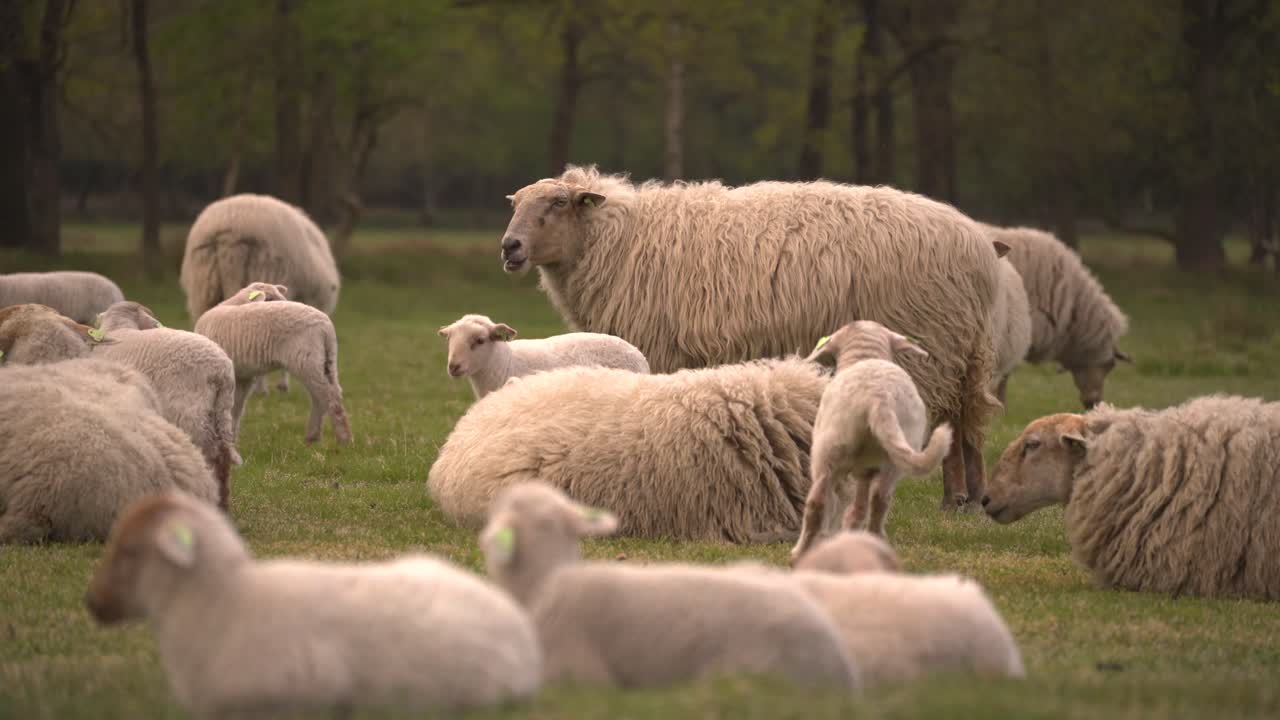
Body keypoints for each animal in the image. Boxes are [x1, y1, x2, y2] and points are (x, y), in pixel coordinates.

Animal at [93, 301, 240, 510]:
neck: (119, 328)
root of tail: (221, 370)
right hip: (222, 410)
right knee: (224, 456)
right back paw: (223, 504)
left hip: (190, 413)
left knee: (209, 455)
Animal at [194, 288, 352, 446]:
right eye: (269, 299)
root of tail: (326, 326)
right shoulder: (242, 377)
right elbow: (236, 409)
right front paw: (231, 439)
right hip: (326, 362)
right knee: (324, 395)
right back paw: (313, 437)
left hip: (306, 360)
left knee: (329, 396)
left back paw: (344, 439)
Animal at [500, 166, 1004, 511]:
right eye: (515, 203)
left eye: (559, 203)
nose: (509, 247)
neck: (616, 240)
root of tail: (980, 249)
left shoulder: (659, 346)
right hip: (963, 346)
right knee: (969, 417)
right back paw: (975, 497)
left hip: (931, 339)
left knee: (950, 416)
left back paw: (953, 496)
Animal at [790, 321, 953, 563]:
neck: (865, 354)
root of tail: (877, 398)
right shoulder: (866, 470)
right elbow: (859, 509)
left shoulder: (857, 470)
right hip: (891, 462)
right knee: (878, 502)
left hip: (827, 452)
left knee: (818, 505)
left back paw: (801, 552)